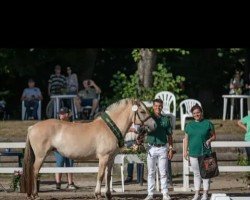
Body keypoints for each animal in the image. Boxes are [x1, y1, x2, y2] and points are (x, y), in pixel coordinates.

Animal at [23, 99, 156, 199]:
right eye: (142, 111)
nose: (154, 125)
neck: (109, 128)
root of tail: (32, 127)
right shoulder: (103, 158)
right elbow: (100, 175)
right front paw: (98, 194)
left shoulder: (111, 158)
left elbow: (108, 176)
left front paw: (108, 194)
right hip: (41, 156)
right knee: (34, 171)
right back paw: (35, 195)